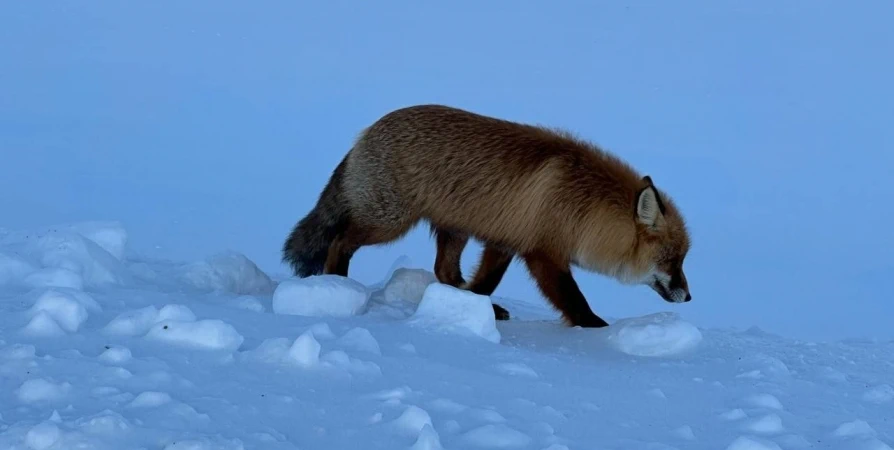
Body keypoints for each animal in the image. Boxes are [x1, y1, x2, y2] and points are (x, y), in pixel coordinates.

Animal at [282, 106, 692, 330]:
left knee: (445, 272)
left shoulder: (505, 241)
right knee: (339, 241)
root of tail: (367, 132)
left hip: (453, 230)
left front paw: (476, 310)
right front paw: (597, 331)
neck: (584, 207)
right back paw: (336, 284)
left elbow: (483, 283)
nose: (689, 297)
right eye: (672, 260)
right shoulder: (543, 253)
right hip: (388, 222)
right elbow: (573, 301)